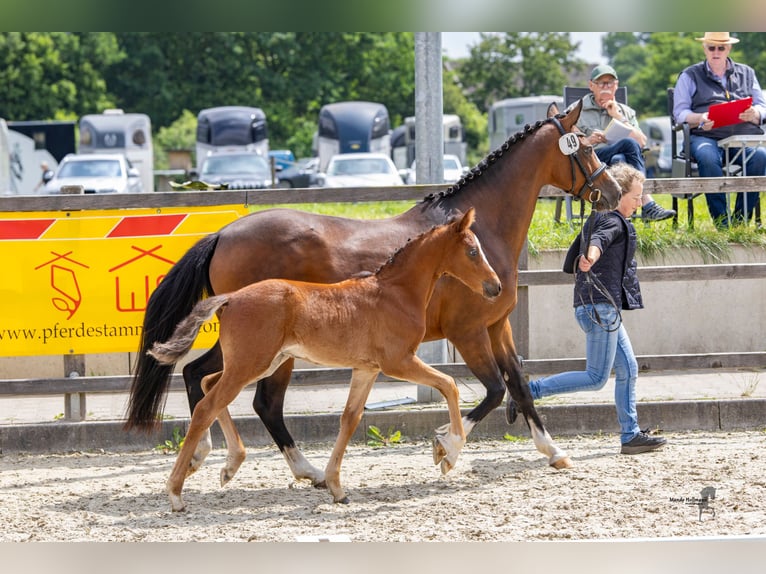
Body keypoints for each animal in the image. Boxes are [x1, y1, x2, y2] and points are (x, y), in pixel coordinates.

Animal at [124, 101, 616, 480]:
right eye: (588, 147)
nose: (613, 191)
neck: (478, 232)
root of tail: (223, 234)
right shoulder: (468, 331)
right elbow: (494, 391)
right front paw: (446, 449)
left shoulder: (498, 326)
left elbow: (520, 384)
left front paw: (554, 451)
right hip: (265, 349)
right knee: (257, 399)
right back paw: (289, 468)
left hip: (252, 345)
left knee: (202, 378)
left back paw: (229, 460)